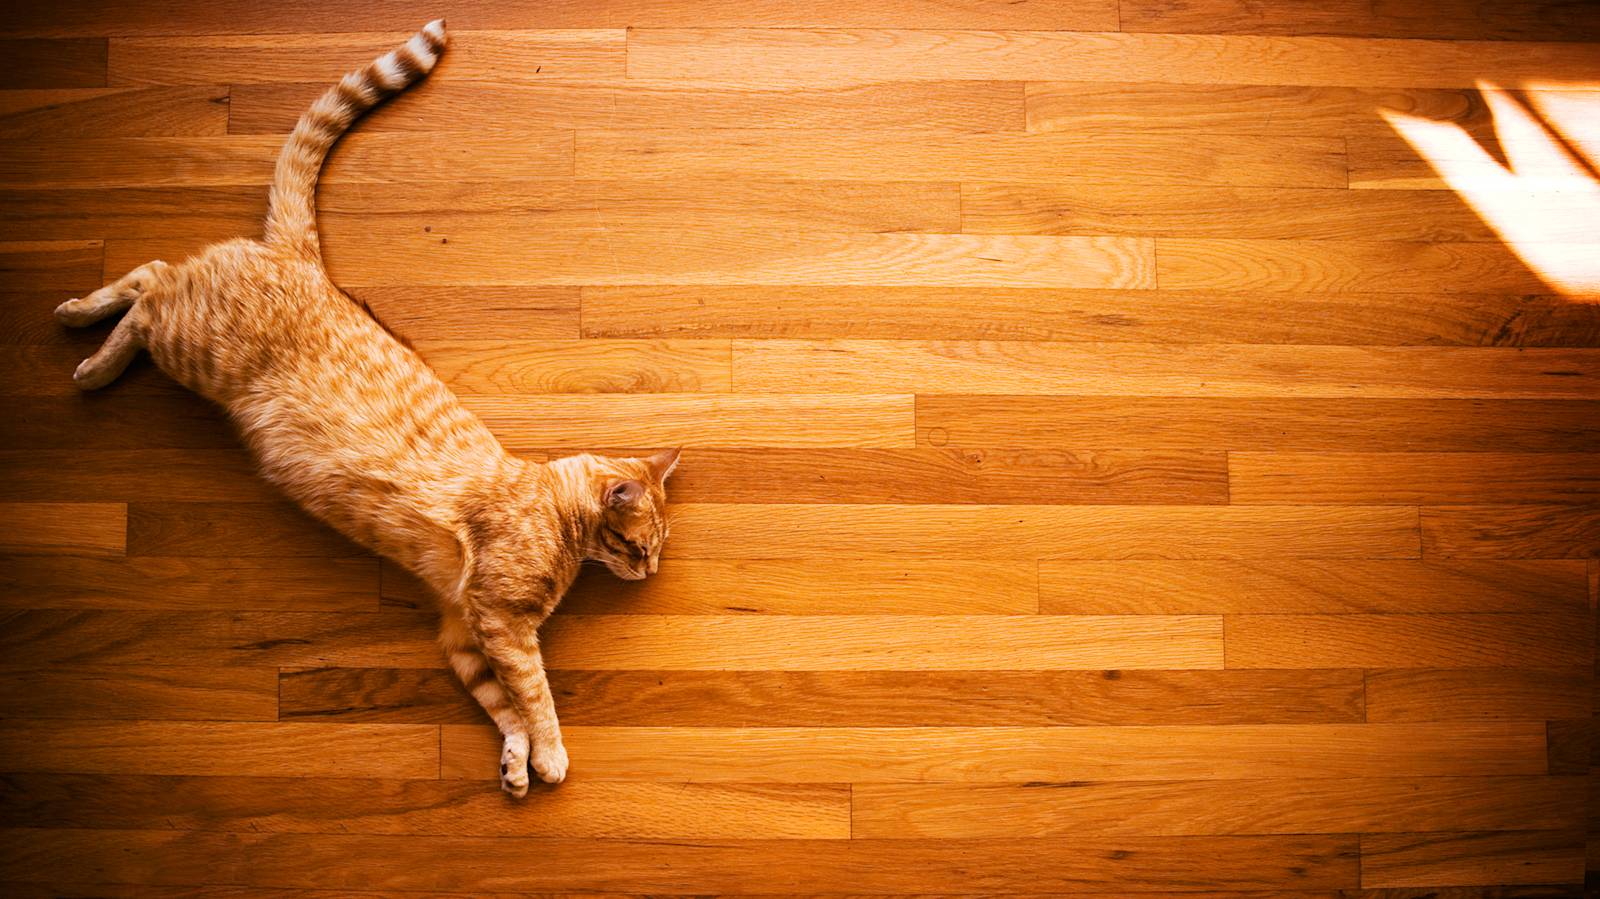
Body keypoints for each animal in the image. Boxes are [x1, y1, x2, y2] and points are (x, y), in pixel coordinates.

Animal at [56, 19, 675, 790]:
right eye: (639, 545)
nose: (650, 571)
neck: (552, 511)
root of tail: (304, 260)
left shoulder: (463, 630)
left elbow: (499, 703)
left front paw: (514, 762)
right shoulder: (503, 623)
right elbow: (536, 695)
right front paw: (550, 755)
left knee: (151, 279)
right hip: (188, 343)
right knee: (148, 283)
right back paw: (86, 347)